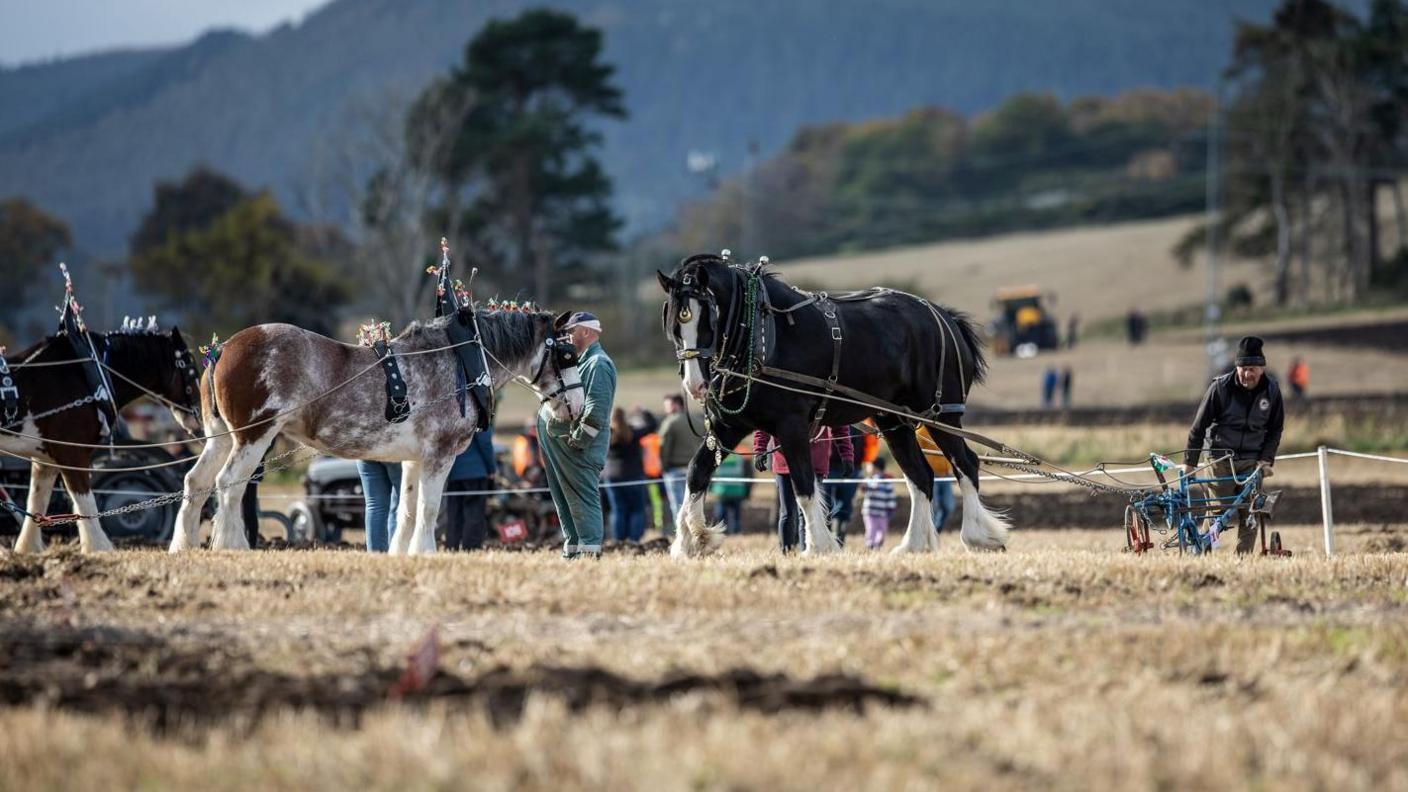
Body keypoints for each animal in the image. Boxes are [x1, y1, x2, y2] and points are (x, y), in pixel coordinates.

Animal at [0, 324, 204, 552]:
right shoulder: (72, 453)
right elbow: (85, 501)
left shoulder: (45, 458)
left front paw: (27, 548)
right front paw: (98, 546)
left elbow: (37, 500)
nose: (200, 413)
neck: (86, 373)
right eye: (191, 368)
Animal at [167, 305, 580, 552]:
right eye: (566, 354)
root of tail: (224, 348)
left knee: (196, 482)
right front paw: (426, 552)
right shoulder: (440, 454)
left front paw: (402, 554)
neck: (462, 360)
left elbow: (408, 508)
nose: (575, 406)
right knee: (228, 485)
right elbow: (430, 508)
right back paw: (231, 546)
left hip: (221, 438)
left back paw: (184, 545)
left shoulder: (414, 459)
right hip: (254, 435)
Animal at [653, 252, 1008, 555]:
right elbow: (696, 472)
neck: (761, 337)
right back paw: (912, 545)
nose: (696, 384)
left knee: (965, 464)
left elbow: (803, 484)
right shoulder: (729, 425)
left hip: (943, 414)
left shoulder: (791, 423)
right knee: (921, 476)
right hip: (893, 420)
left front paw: (819, 546)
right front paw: (690, 542)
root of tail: (946, 317)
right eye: (674, 323)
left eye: (709, 319)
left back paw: (977, 537)